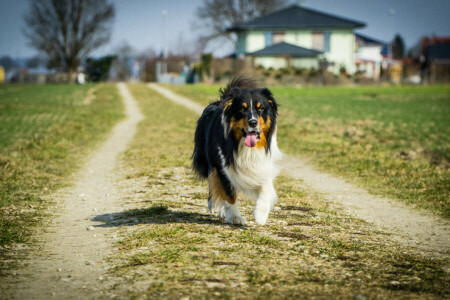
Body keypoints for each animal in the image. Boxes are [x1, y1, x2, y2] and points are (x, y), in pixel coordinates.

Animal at [192, 77, 282, 225]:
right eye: (242, 109)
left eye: (261, 109)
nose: (253, 123)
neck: (247, 147)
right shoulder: (222, 166)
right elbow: (229, 193)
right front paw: (235, 217)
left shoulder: (261, 164)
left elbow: (266, 186)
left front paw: (260, 215)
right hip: (206, 159)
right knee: (213, 181)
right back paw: (214, 205)